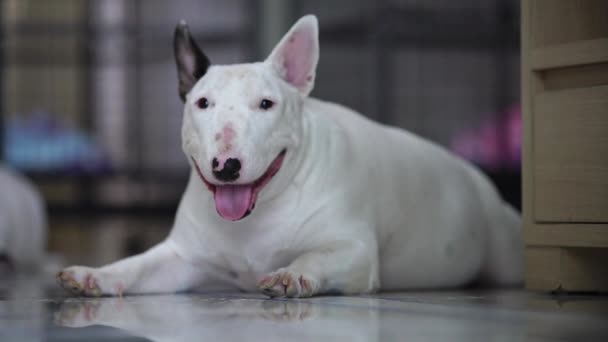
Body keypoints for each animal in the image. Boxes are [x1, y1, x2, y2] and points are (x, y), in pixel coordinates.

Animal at [58, 16, 524, 298]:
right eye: (202, 103)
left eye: (266, 104)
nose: (226, 166)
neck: (261, 209)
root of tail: (478, 181)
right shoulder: (181, 258)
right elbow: (136, 265)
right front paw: (94, 275)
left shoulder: (354, 250)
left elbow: (316, 255)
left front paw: (290, 274)